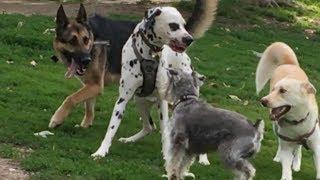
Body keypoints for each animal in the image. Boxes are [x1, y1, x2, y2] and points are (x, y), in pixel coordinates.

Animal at [91, 0, 219, 165]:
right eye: (173, 25)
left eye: (184, 25)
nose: (189, 39)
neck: (149, 54)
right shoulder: (123, 98)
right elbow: (112, 127)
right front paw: (101, 151)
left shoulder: (162, 102)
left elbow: (164, 132)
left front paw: (166, 155)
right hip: (139, 101)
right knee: (149, 127)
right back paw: (130, 139)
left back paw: (203, 158)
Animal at [255, 41, 320, 179]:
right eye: (273, 89)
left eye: (283, 91)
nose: (263, 101)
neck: (297, 121)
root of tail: (289, 63)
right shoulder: (287, 146)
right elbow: (286, 168)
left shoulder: (317, 148)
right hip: (275, 128)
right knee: (281, 144)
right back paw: (278, 157)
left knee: (299, 148)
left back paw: (296, 163)